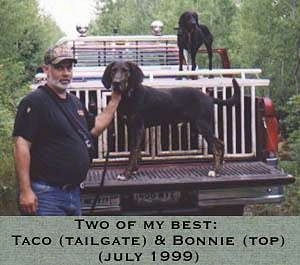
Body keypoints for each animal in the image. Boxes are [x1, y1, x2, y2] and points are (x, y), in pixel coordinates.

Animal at [102, 60, 240, 179]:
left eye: (125, 70)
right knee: (220, 143)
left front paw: (126, 174)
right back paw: (218, 167)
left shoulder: (137, 127)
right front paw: (134, 170)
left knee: (217, 145)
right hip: (198, 125)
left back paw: (215, 171)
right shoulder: (132, 128)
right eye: (113, 70)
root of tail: (209, 97)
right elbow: (136, 152)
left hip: (203, 125)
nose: (116, 83)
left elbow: (133, 152)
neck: (129, 95)